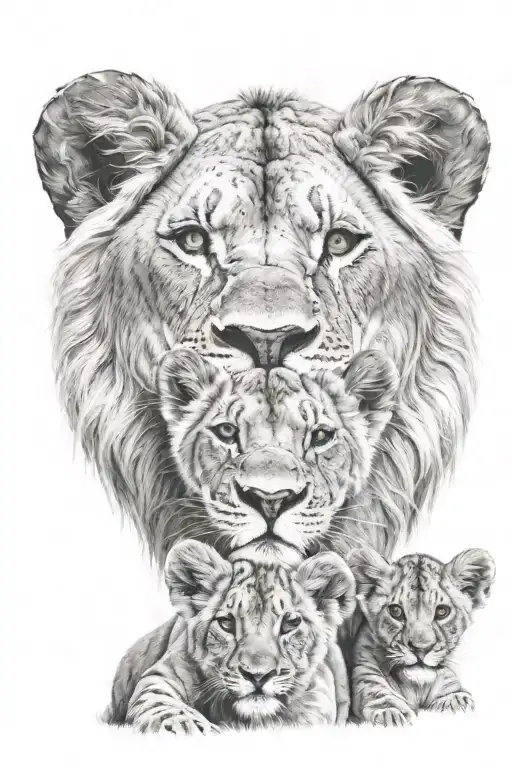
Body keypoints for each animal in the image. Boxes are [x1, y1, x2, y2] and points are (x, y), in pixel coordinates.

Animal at [105, 539, 356, 733]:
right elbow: (164, 706)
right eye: (226, 623)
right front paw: (190, 729)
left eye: (290, 623)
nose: (258, 676)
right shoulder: (161, 676)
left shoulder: (319, 694)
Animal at [349, 546, 495, 726]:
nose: (421, 649)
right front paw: (391, 714)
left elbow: (453, 692)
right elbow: (376, 691)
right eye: (395, 611)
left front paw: (456, 702)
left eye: (442, 611)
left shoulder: (447, 681)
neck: (416, 687)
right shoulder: (364, 671)